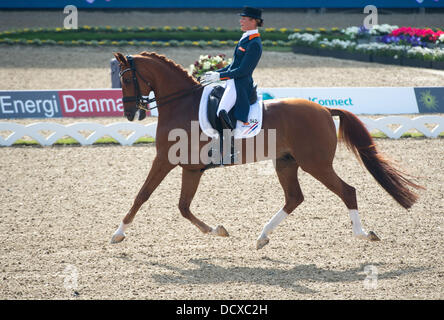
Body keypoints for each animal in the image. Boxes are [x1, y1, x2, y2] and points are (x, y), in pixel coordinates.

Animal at [109, 51, 422, 249]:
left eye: (126, 79)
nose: (130, 114)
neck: (180, 103)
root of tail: (324, 109)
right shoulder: (192, 168)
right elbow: (183, 207)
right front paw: (216, 230)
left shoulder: (164, 160)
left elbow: (142, 195)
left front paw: (117, 233)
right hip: (286, 162)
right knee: (294, 198)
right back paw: (262, 237)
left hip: (316, 164)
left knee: (347, 191)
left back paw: (362, 234)